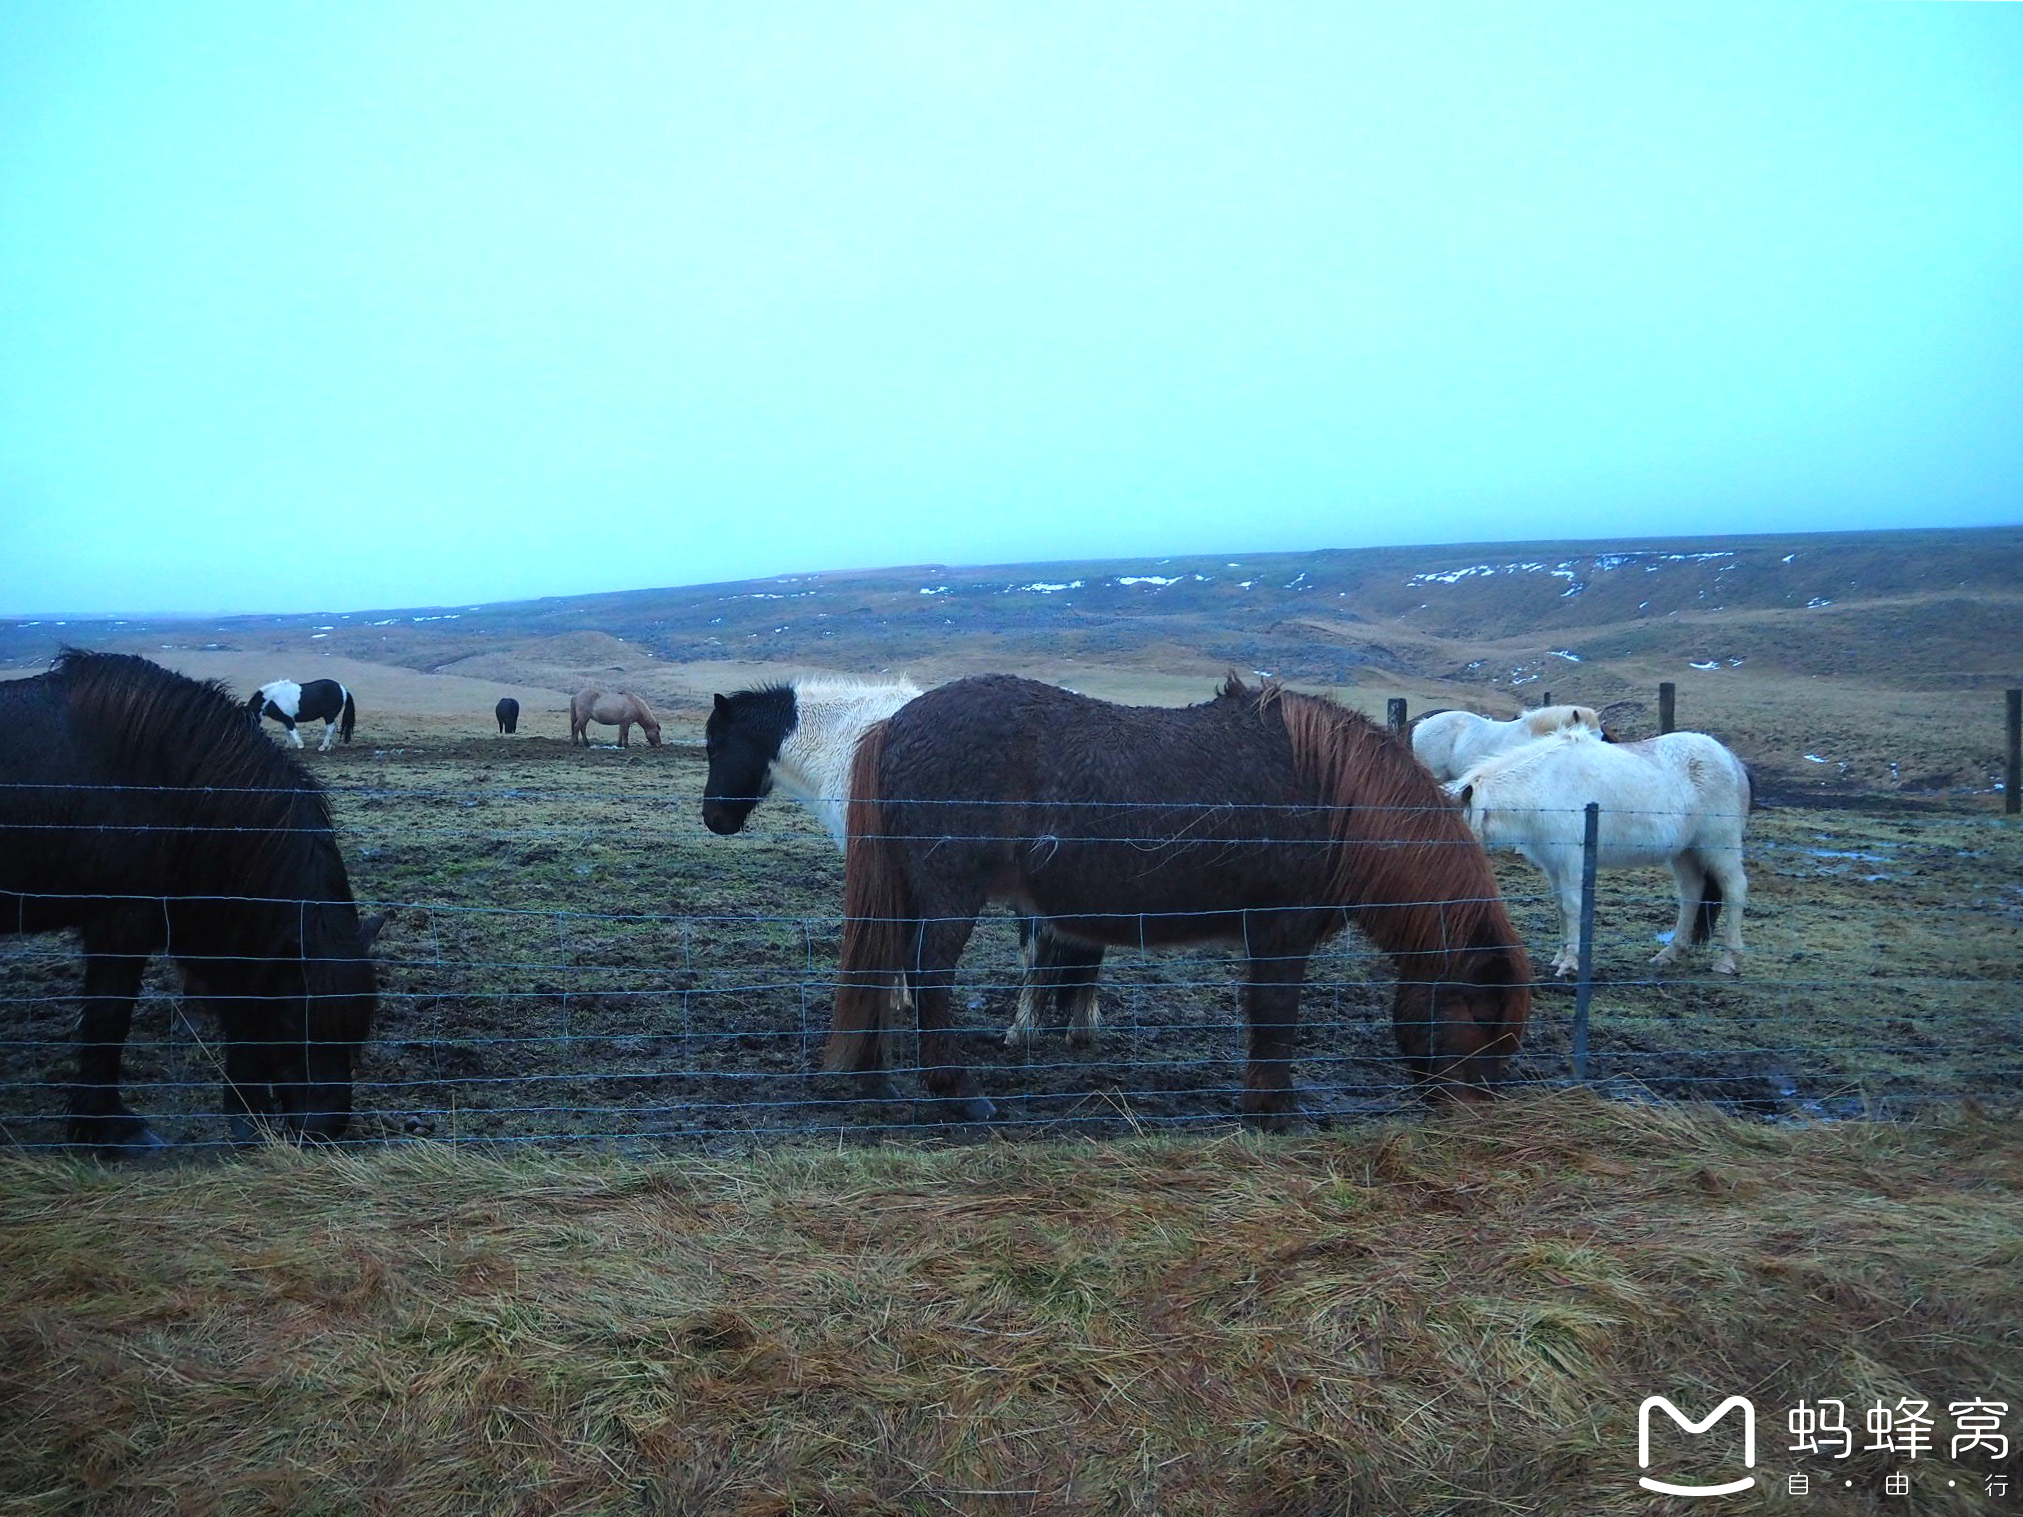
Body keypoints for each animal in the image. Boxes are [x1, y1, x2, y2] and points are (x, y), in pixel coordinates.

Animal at [2, 647, 382, 1156]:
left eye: (358, 1028)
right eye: (291, 1025)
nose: (323, 1132)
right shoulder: (120, 917)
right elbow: (109, 1017)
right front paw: (109, 1126)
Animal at [695, 683, 1108, 1051]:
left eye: (715, 747)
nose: (714, 819)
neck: (846, 742)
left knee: (1039, 950)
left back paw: (1023, 1031)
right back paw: (1079, 1028)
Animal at [833, 675, 1529, 1132]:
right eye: (1483, 1015)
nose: (1478, 1117)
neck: (1336, 799)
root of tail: (894, 723)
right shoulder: (1280, 929)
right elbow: (1276, 1013)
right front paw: (1276, 1109)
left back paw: (876, 1079)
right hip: (950, 895)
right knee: (930, 978)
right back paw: (957, 1094)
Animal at [1448, 728, 1747, 987]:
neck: (1545, 784)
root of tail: (1729, 758)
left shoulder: (1571, 862)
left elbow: (1572, 907)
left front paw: (1570, 964)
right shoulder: (1553, 866)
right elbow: (1560, 908)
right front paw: (1560, 956)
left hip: (1719, 847)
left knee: (1734, 889)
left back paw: (1728, 960)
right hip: (1684, 853)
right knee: (1691, 895)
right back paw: (1670, 954)